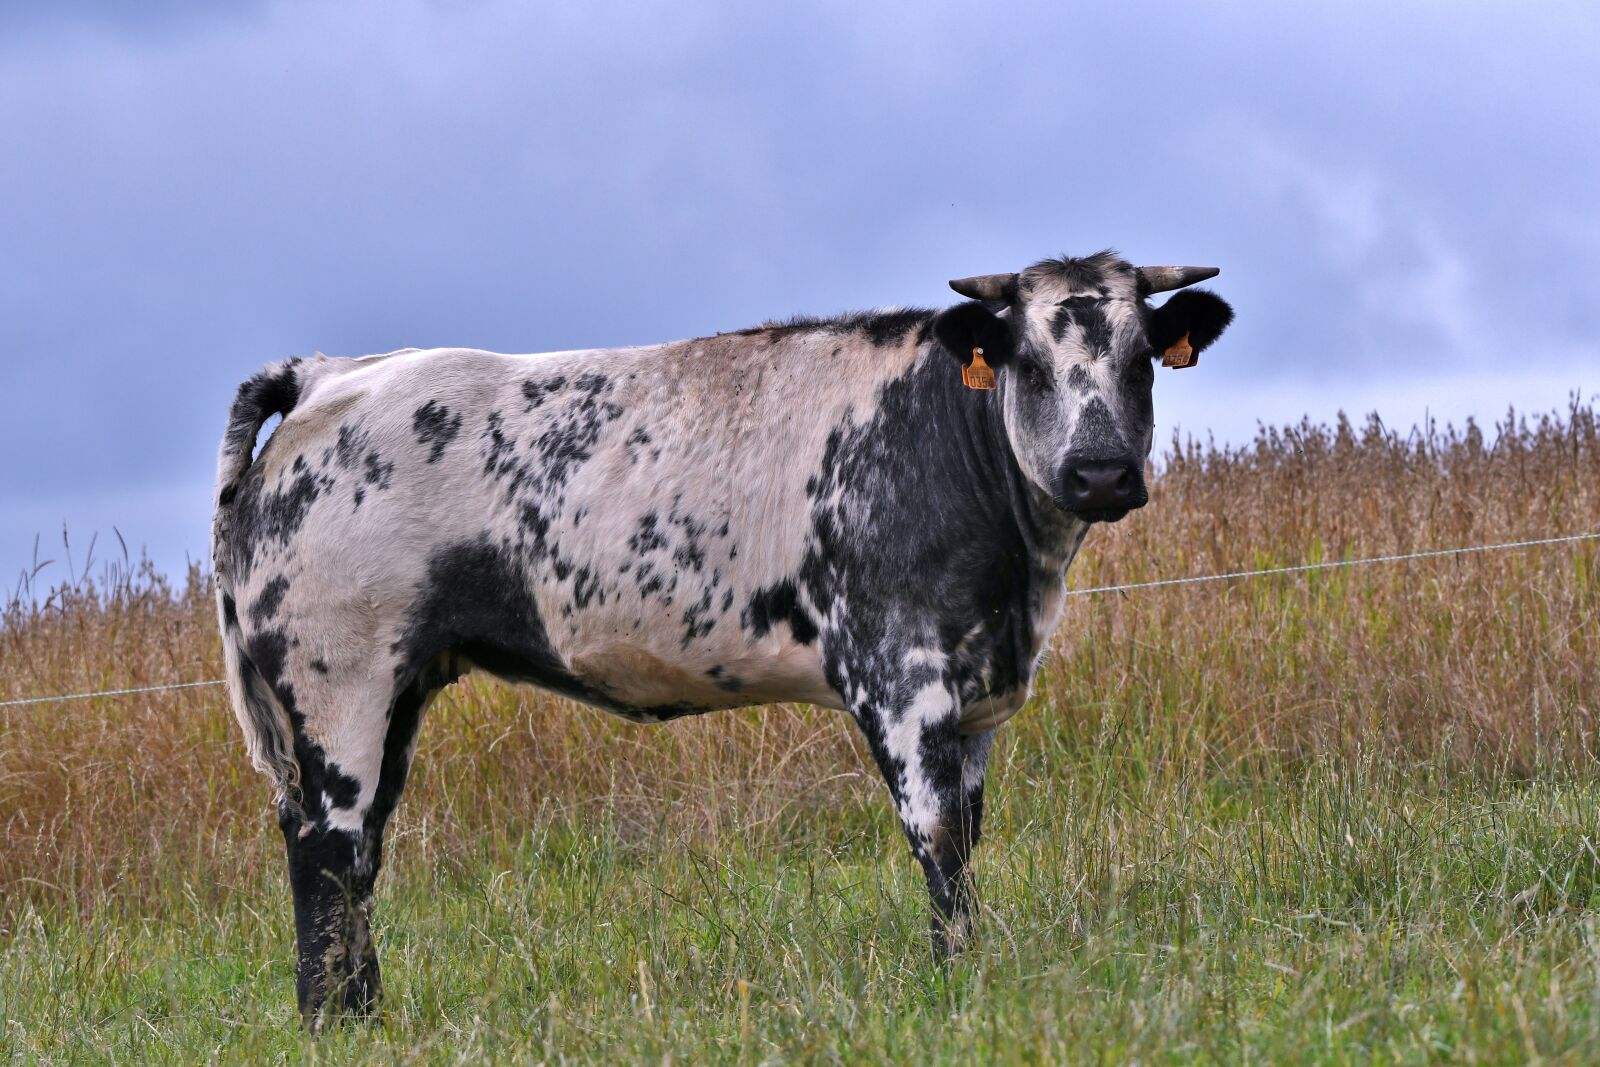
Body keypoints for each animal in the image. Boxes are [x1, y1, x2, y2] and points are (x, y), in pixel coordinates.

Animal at [212, 250, 1233, 1027]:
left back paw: (364, 1015)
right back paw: (335, 1021)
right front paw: (958, 984)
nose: (1099, 470)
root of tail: (332, 372)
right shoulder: (900, 675)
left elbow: (969, 833)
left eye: (1142, 357)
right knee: (329, 846)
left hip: (398, 689)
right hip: (339, 680)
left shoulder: (977, 690)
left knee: (361, 850)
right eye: (1026, 359)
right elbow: (938, 838)